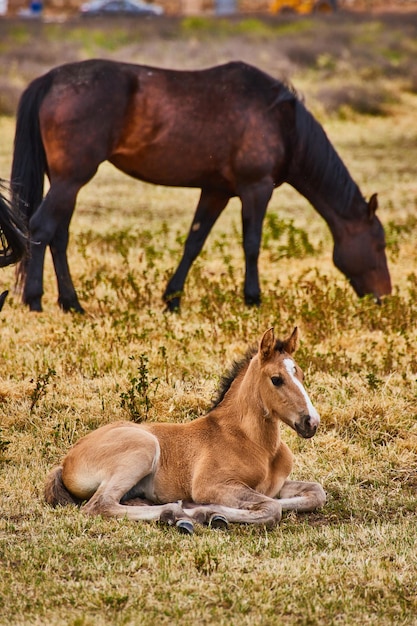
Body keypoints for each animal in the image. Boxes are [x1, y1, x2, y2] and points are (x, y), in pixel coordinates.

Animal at [11, 59, 392, 312]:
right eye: (379, 244)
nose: (384, 295)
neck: (282, 122)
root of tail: (51, 79)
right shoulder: (257, 188)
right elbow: (252, 244)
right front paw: (253, 299)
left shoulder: (216, 191)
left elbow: (194, 242)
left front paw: (172, 300)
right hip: (71, 180)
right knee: (41, 227)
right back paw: (35, 300)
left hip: (64, 182)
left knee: (58, 235)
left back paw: (71, 303)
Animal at [44, 326, 324, 532]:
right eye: (276, 379)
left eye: (300, 375)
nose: (311, 422)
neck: (255, 443)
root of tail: (66, 461)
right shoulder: (211, 485)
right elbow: (271, 508)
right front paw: (207, 512)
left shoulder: (276, 485)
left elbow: (314, 493)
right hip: (143, 447)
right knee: (99, 505)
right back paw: (175, 513)